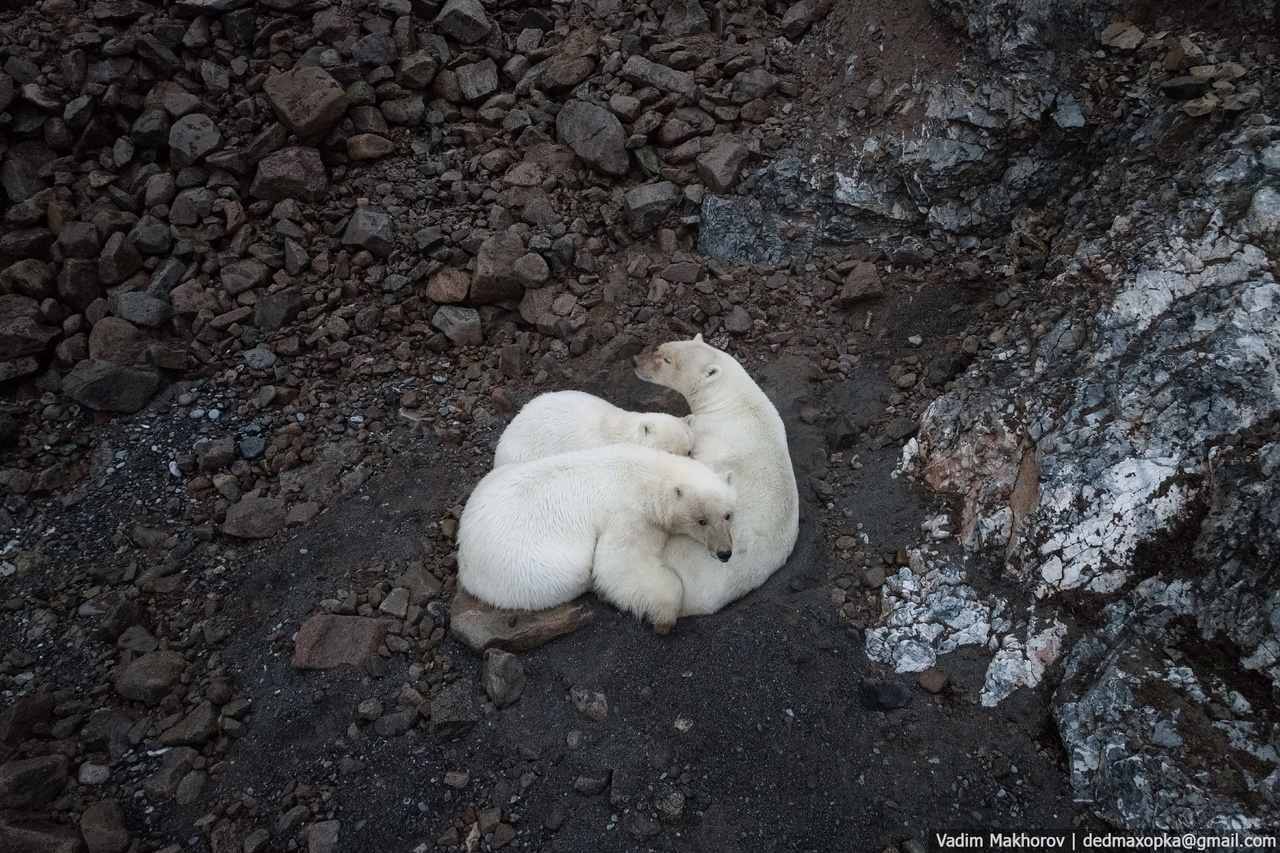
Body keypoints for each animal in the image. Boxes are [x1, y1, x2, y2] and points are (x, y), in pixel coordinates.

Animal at [460, 440, 742, 627]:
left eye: (727, 515)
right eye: (701, 521)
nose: (725, 553)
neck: (648, 475)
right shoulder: (628, 512)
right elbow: (617, 566)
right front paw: (664, 613)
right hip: (527, 563)